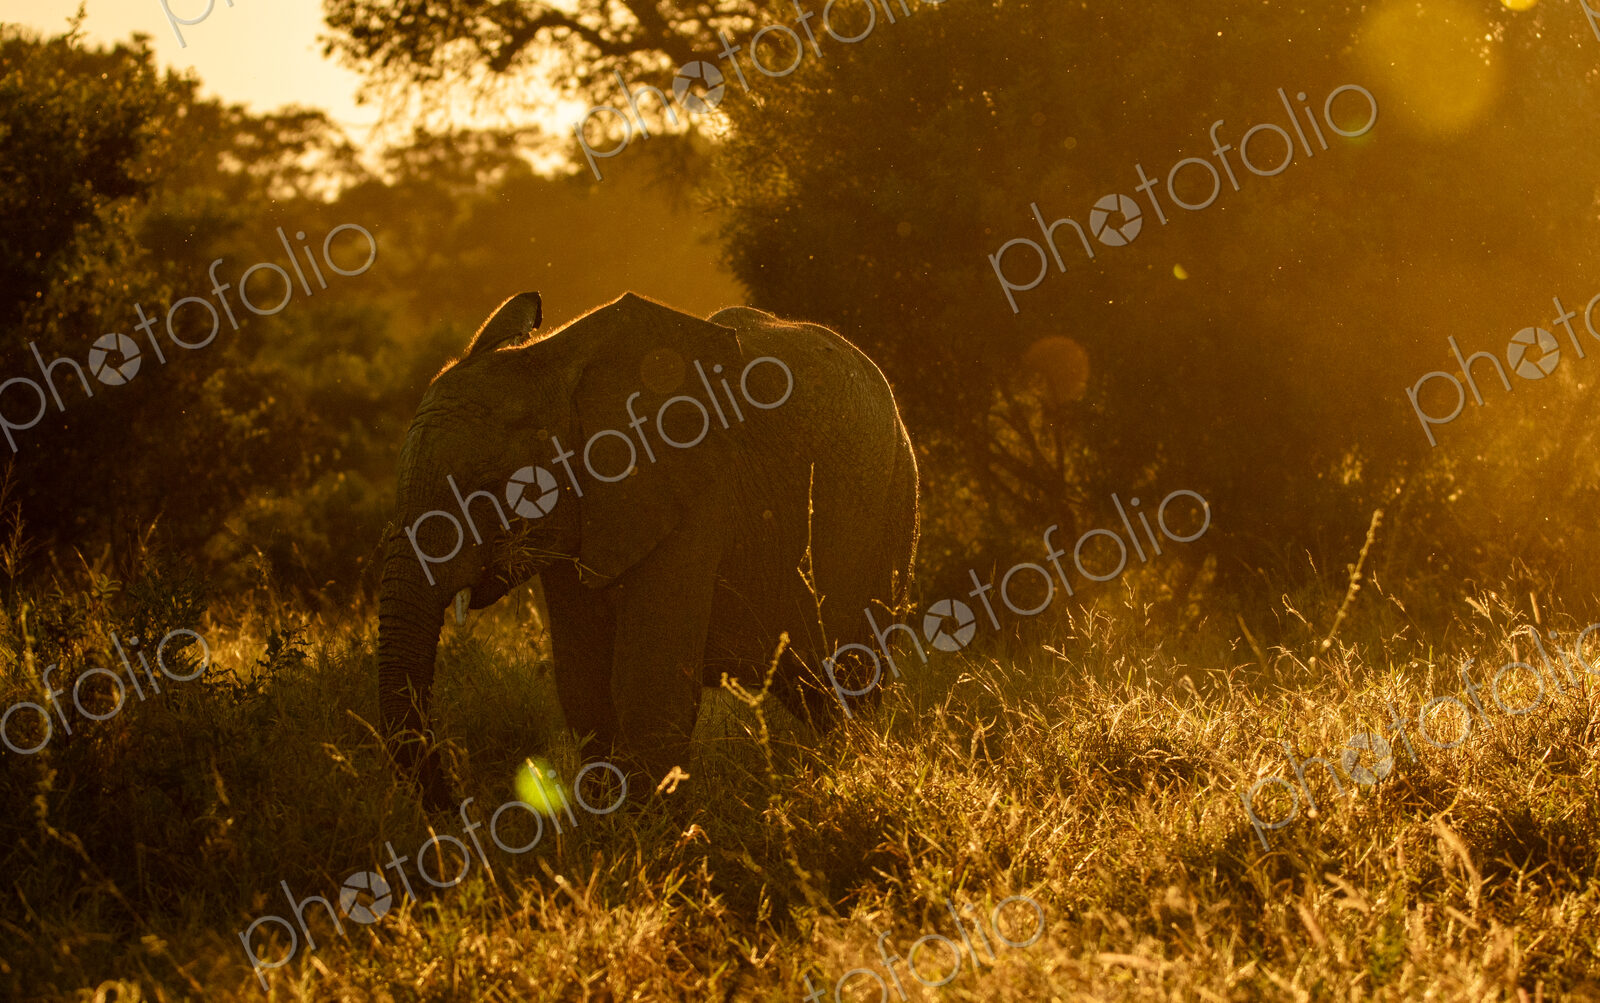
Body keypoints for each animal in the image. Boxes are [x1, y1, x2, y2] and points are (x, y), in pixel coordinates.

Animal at [377, 291, 919, 812]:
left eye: (487, 489)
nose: (457, 807)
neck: (555, 364)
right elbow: (584, 684)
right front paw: (609, 823)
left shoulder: (695, 495)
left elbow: (648, 685)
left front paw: (647, 833)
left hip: (892, 508)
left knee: (850, 676)